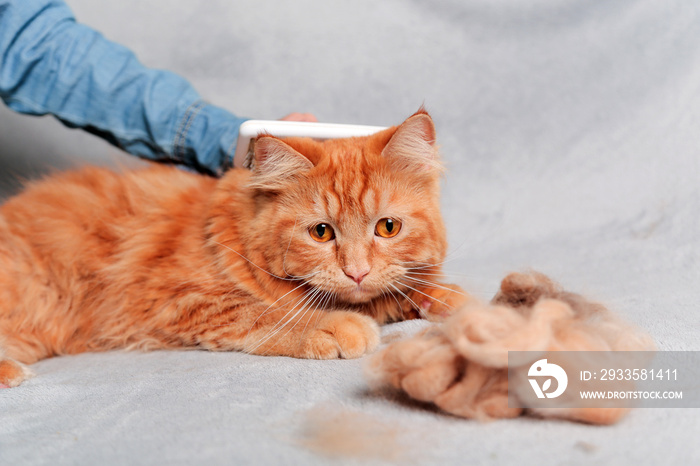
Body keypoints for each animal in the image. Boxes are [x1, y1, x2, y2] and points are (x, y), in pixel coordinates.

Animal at [1, 110, 470, 386]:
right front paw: (331, 325)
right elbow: (267, 312)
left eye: (387, 227)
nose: (357, 272)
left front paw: (446, 298)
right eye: (321, 233)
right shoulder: (180, 297)